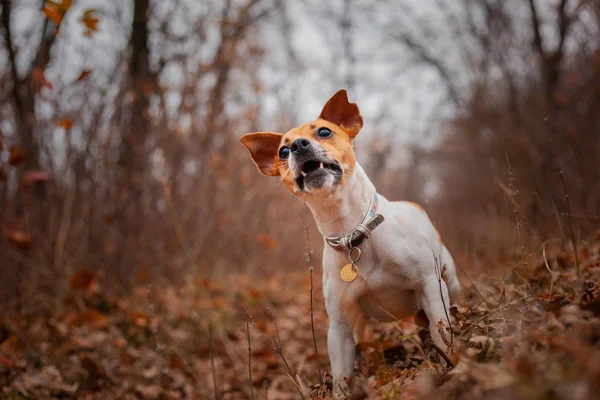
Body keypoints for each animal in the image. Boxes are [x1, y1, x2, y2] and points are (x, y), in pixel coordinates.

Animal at [239, 89, 460, 392]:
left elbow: (442, 331)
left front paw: (450, 365)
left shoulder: (430, 286)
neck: (351, 233)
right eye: (282, 152)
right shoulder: (340, 326)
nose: (297, 145)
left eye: (324, 131)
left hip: (450, 280)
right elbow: (341, 376)